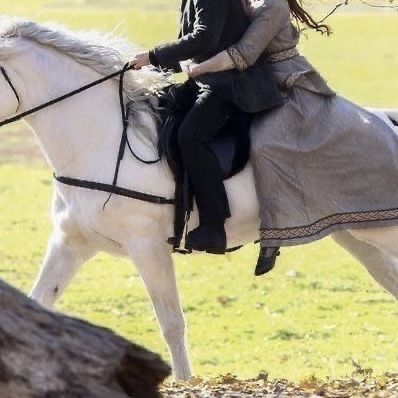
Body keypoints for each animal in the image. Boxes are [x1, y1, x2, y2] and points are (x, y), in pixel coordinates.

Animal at [0, 18, 396, 380]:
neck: (104, 140)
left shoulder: (149, 249)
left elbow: (172, 323)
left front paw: (184, 382)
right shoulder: (71, 243)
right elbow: (38, 303)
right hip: (354, 234)